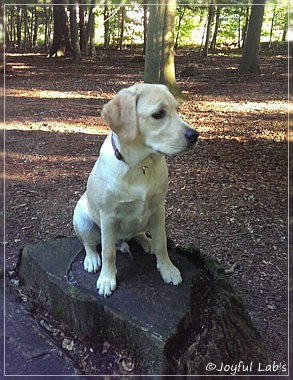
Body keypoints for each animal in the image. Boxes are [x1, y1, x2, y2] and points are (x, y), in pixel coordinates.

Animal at [73, 83, 198, 296]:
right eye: (158, 114)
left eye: (177, 110)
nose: (195, 135)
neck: (141, 165)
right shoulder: (108, 217)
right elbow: (108, 252)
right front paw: (107, 279)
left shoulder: (158, 209)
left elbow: (162, 243)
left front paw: (167, 270)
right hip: (82, 218)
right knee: (90, 243)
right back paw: (92, 260)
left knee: (139, 234)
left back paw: (147, 241)